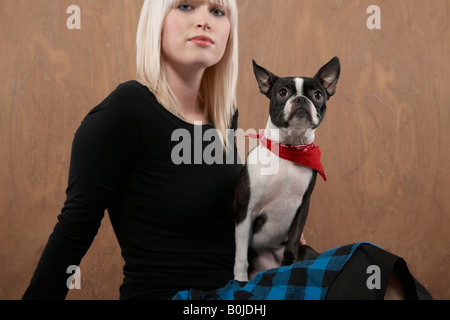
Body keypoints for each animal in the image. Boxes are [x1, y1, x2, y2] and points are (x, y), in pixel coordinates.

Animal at [232, 57, 342, 280]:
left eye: (318, 95)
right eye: (282, 92)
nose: (300, 99)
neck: (289, 150)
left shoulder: (303, 206)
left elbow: (292, 241)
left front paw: (289, 267)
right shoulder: (245, 210)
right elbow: (241, 254)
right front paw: (239, 279)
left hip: (306, 249)